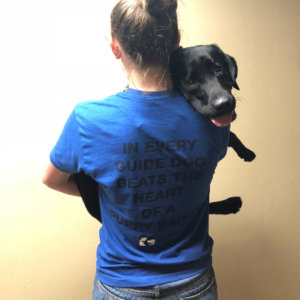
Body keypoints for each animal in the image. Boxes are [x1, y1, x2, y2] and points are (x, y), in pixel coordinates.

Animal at [72, 44, 255, 223]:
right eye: (190, 81)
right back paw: (230, 204)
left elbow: (233, 136)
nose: (224, 104)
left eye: (219, 68)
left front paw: (246, 152)